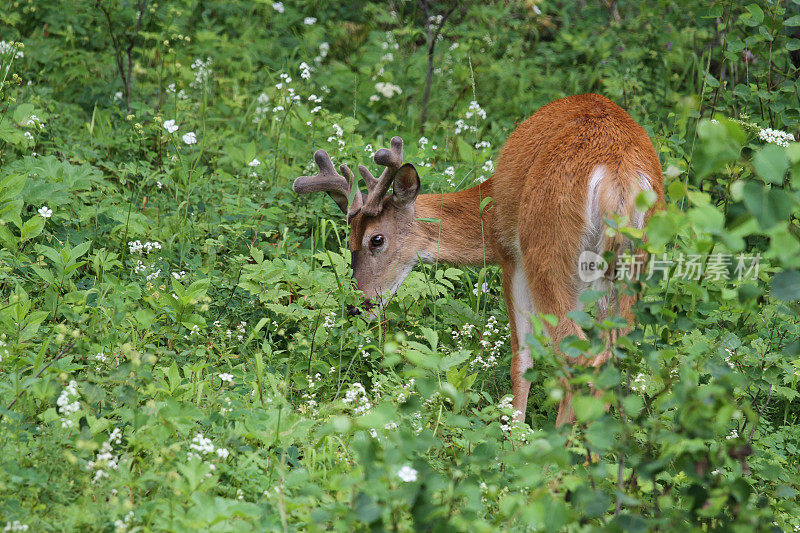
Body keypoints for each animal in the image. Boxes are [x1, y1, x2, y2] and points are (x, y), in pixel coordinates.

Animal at [292, 92, 664, 424]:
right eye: (349, 241)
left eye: (376, 239)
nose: (357, 306)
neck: (489, 205)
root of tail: (617, 177)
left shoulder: (509, 254)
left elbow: (521, 359)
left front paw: (514, 433)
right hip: (633, 265)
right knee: (612, 358)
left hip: (547, 251)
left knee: (578, 359)